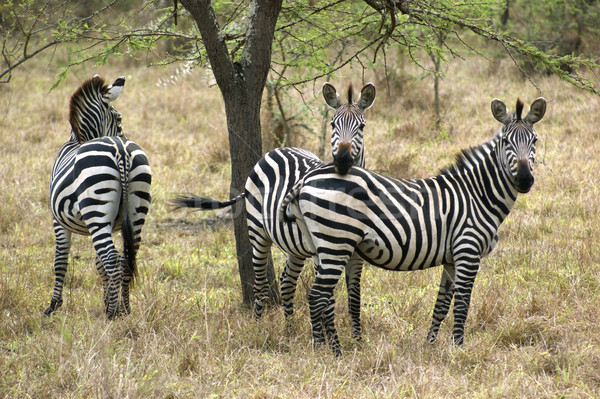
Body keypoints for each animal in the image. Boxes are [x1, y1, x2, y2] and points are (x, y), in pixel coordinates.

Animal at [44, 74, 152, 318]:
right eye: (119, 120)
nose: (123, 133)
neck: (78, 139)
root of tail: (121, 149)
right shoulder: (112, 224)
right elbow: (99, 263)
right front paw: (107, 301)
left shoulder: (57, 220)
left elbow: (60, 260)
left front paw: (53, 305)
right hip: (136, 210)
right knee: (126, 259)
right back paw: (125, 309)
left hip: (96, 209)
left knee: (112, 259)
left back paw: (112, 314)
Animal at [170, 82, 376, 332]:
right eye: (333, 124)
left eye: (362, 126)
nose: (343, 160)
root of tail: (275, 150)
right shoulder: (323, 251)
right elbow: (328, 299)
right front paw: (328, 337)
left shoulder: (357, 254)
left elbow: (354, 298)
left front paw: (355, 337)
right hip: (258, 233)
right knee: (260, 285)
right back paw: (258, 328)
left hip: (296, 246)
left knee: (287, 281)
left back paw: (289, 329)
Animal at [282, 97, 544, 356]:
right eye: (506, 141)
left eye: (534, 140)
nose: (524, 180)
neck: (477, 194)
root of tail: (306, 178)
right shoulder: (468, 251)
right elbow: (462, 305)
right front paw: (459, 349)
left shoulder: (451, 259)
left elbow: (441, 305)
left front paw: (430, 345)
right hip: (336, 241)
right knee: (317, 296)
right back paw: (329, 351)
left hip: (320, 244)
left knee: (320, 296)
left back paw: (326, 347)